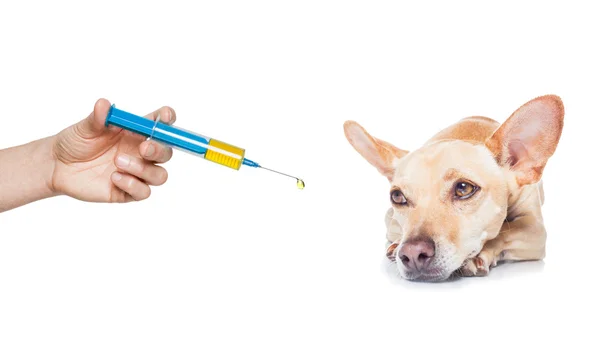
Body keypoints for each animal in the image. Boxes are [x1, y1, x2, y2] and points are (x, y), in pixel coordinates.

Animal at [344, 94, 564, 280]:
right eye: (397, 196)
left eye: (464, 188)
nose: (412, 253)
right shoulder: (391, 220)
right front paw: (397, 244)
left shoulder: (534, 229)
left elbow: (506, 231)